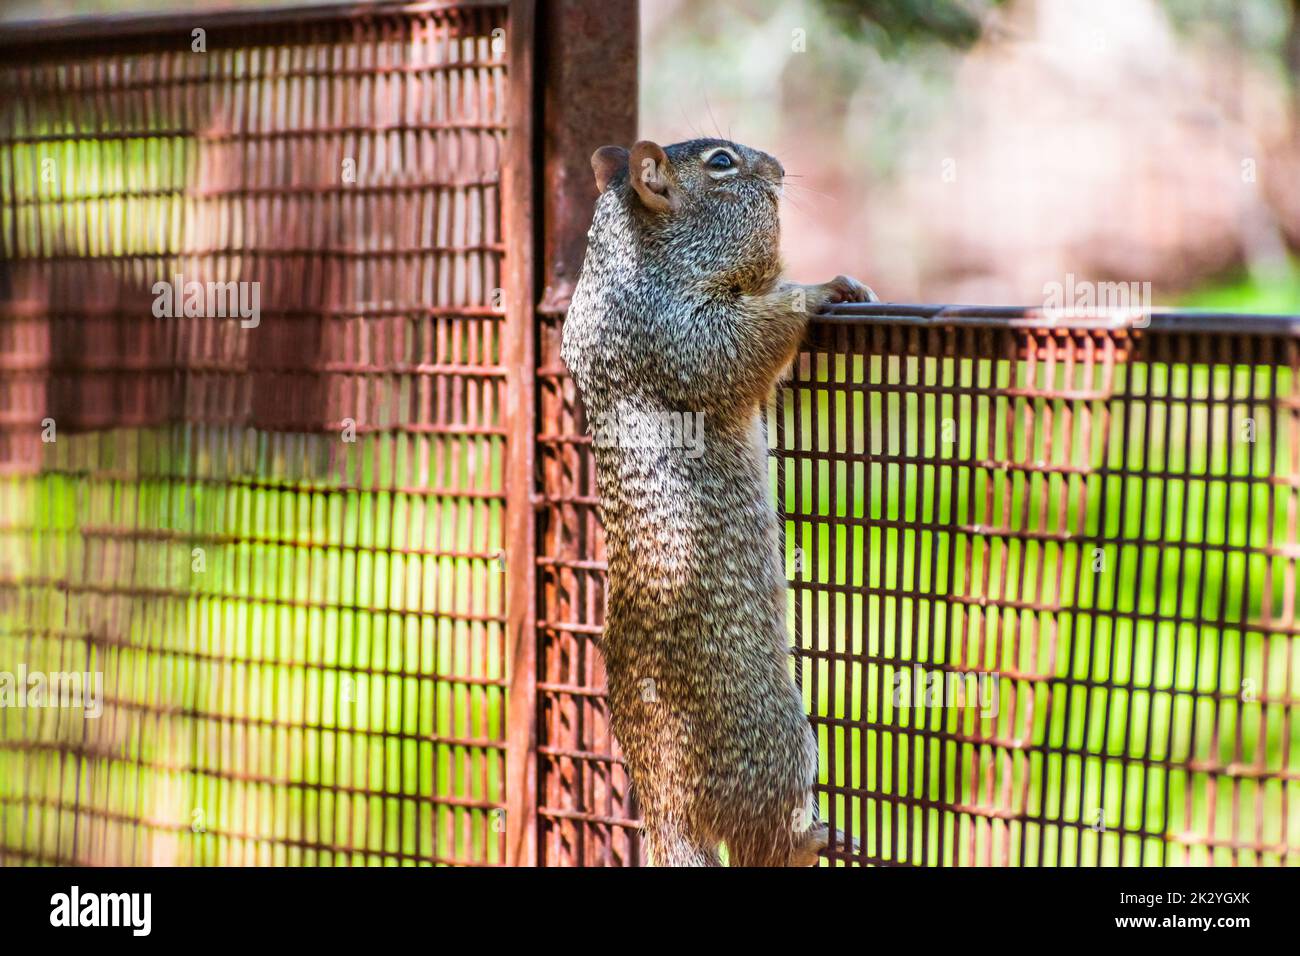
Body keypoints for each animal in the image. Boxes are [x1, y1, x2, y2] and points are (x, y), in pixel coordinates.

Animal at [561, 136, 878, 868]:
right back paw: (810, 837)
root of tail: (664, 807)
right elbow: (743, 344)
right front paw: (820, 288)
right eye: (722, 162)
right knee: (762, 841)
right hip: (774, 737)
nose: (780, 169)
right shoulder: (680, 335)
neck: (625, 269)